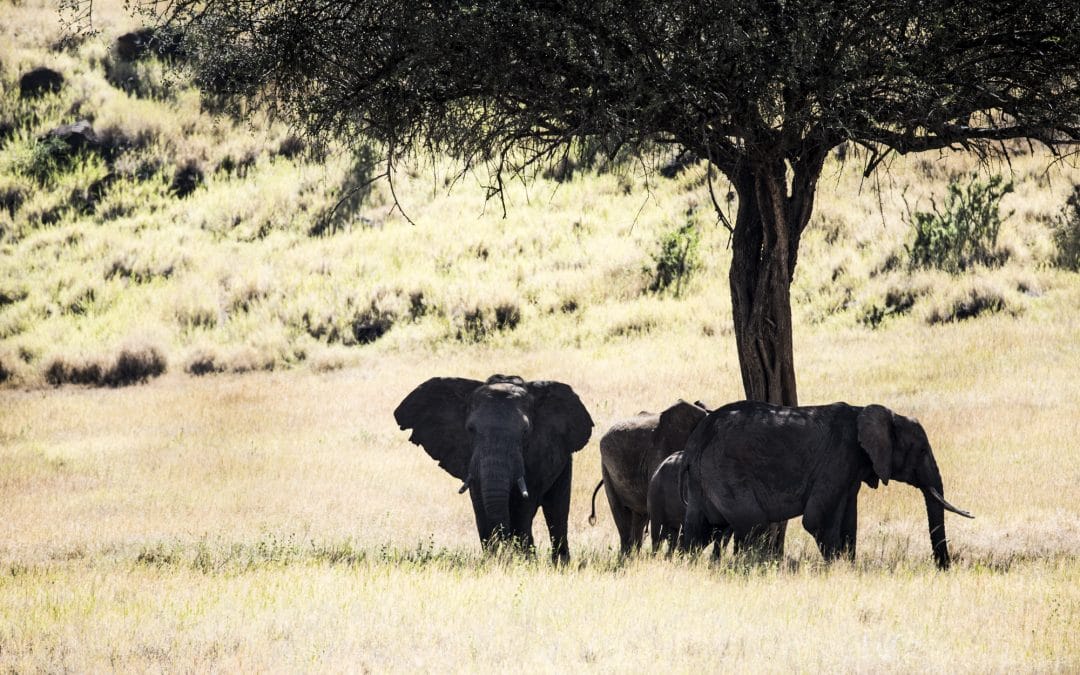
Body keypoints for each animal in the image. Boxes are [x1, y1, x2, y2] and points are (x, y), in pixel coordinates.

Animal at [395, 371, 591, 561]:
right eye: (470, 429)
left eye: (525, 432)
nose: (505, 551)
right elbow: (480, 504)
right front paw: (492, 559)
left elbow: (523, 506)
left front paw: (525, 561)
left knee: (556, 509)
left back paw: (559, 563)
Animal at [682, 399, 980, 570]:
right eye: (921, 451)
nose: (944, 568)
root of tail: (697, 437)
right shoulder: (838, 457)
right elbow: (816, 520)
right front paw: (836, 567)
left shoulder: (852, 467)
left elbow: (849, 520)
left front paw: (848, 566)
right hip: (724, 470)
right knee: (754, 525)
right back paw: (756, 567)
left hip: (703, 480)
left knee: (699, 529)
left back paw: (687, 564)